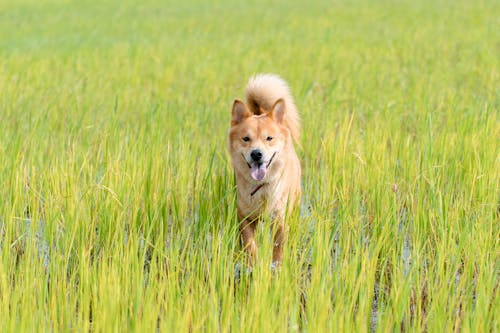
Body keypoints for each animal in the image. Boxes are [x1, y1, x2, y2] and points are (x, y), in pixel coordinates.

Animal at [228, 74, 300, 266]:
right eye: (246, 138)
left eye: (269, 138)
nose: (256, 154)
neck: (261, 188)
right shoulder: (245, 218)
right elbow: (250, 244)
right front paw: (254, 265)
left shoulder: (279, 219)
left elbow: (278, 246)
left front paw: (277, 266)